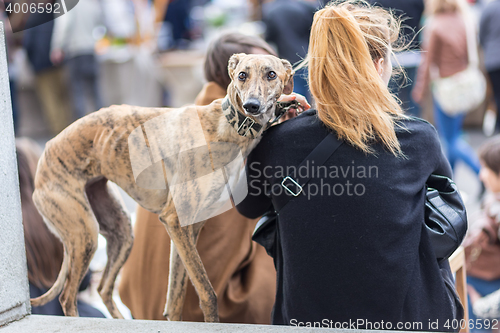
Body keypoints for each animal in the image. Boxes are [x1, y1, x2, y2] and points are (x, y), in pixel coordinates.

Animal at [31, 53, 294, 320]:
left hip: (120, 230)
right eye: (242, 75)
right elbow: (208, 294)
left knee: (104, 287)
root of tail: (46, 150)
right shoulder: (175, 219)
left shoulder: (189, 227)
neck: (226, 126)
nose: (252, 105)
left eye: (271, 74)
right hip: (84, 233)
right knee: (67, 296)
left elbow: (175, 299)